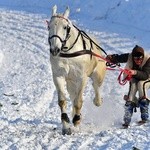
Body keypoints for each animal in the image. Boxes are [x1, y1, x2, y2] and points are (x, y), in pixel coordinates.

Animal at [47, 5, 106, 135]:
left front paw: (76, 123)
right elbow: (62, 100)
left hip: (97, 73)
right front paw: (65, 125)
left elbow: (78, 102)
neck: (69, 52)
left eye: (65, 27)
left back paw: (97, 101)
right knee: (73, 96)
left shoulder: (81, 78)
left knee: (96, 86)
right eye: (49, 26)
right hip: (71, 82)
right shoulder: (58, 76)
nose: (55, 50)